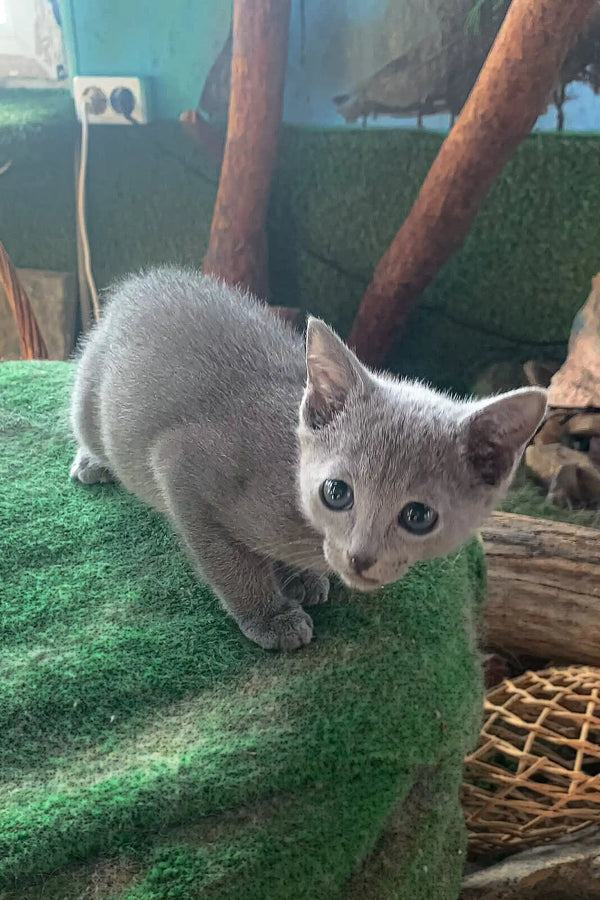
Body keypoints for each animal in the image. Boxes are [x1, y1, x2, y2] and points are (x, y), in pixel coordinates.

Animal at [71, 264, 548, 652]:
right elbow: (228, 561)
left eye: (418, 517)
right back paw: (92, 463)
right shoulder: (182, 466)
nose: (360, 558)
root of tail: (139, 283)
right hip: (89, 391)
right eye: (336, 492)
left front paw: (300, 577)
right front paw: (270, 615)